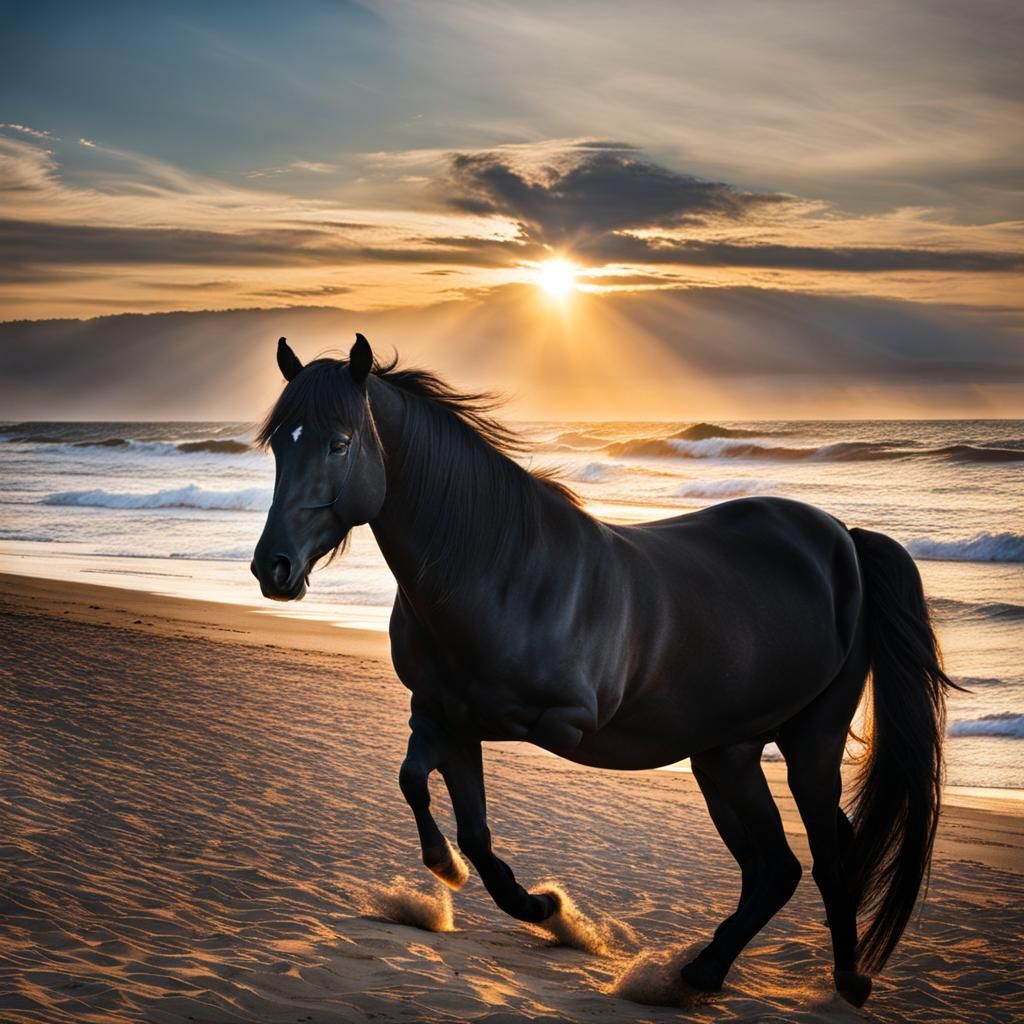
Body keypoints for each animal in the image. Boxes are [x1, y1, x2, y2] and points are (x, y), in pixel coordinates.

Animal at [251, 334, 956, 1007]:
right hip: (723, 756)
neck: (497, 570)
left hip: (807, 744)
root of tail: (845, 540)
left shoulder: (545, 722)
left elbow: (446, 794)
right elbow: (440, 804)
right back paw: (742, 973)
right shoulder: (440, 712)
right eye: (278, 446)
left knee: (816, 859)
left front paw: (533, 903)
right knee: (782, 864)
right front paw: (518, 898)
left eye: (340, 443)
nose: (273, 568)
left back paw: (784, 977)